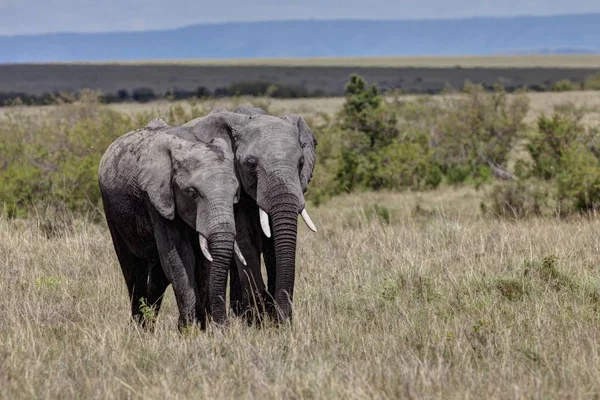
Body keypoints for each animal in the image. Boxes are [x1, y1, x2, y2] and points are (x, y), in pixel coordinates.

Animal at [98, 117, 246, 330]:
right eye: (192, 193)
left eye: (235, 194)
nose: (224, 326)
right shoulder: (157, 199)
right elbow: (180, 257)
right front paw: (189, 329)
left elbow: (204, 263)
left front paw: (200, 328)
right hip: (112, 211)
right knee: (133, 270)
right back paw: (139, 328)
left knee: (158, 276)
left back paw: (148, 324)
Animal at [178, 104, 318, 324]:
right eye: (251, 164)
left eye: (301, 162)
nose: (283, 320)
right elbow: (245, 241)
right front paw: (261, 319)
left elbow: (273, 246)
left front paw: (274, 318)